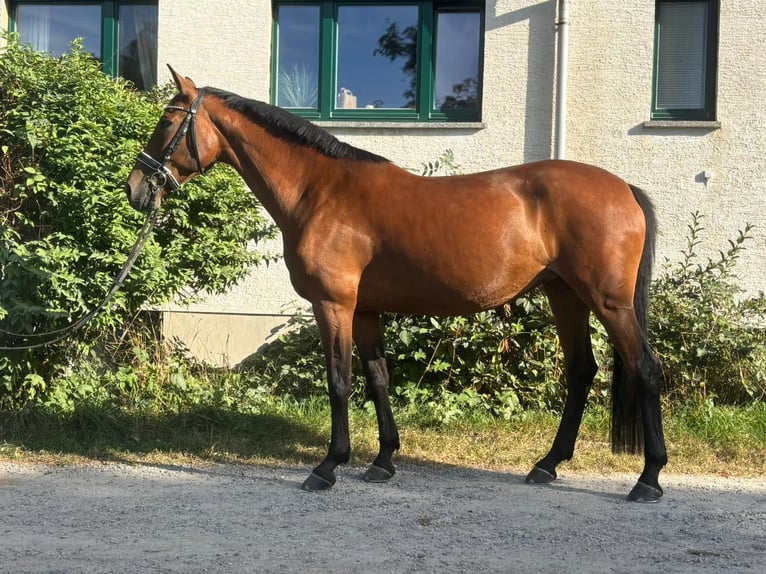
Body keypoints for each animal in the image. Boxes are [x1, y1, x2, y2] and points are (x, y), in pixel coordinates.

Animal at [125, 68, 667, 502]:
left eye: (168, 122)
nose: (136, 189)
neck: (320, 191)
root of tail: (624, 188)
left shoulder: (334, 305)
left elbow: (339, 381)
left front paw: (328, 467)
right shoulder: (365, 310)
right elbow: (378, 379)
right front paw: (383, 461)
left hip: (609, 302)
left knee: (645, 368)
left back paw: (648, 479)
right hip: (564, 295)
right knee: (581, 371)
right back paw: (547, 465)